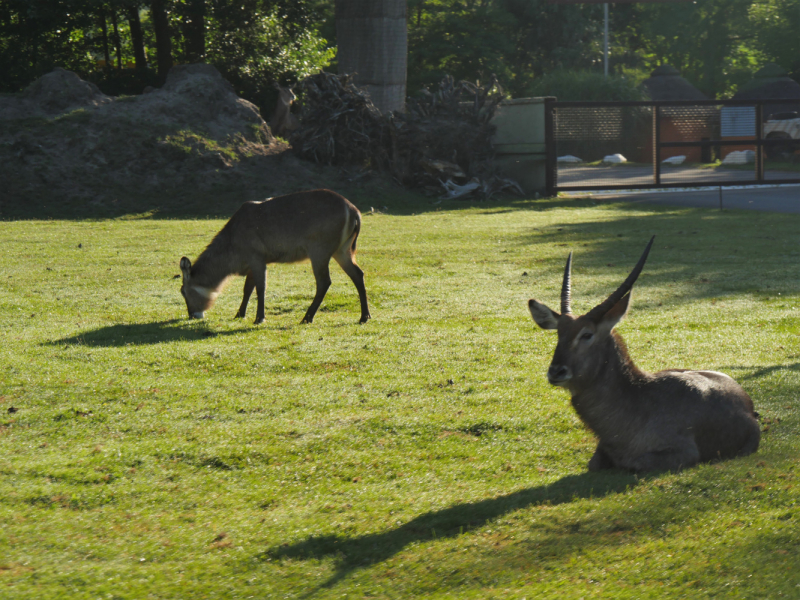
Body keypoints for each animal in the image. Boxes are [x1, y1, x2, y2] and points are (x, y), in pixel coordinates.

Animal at [180, 190, 370, 326]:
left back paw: (307, 318)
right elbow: (247, 288)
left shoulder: (256, 258)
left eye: (182, 291)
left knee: (324, 282)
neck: (232, 240)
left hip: (319, 251)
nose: (192, 315)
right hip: (342, 250)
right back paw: (364, 317)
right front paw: (239, 314)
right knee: (358, 274)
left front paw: (259, 318)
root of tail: (353, 211)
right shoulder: (252, 262)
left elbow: (260, 288)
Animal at [528, 237, 760, 472]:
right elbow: (594, 464)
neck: (639, 396)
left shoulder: (683, 453)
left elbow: (633, 463)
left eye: (587, 334)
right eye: (559, 332)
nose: (556, 371)